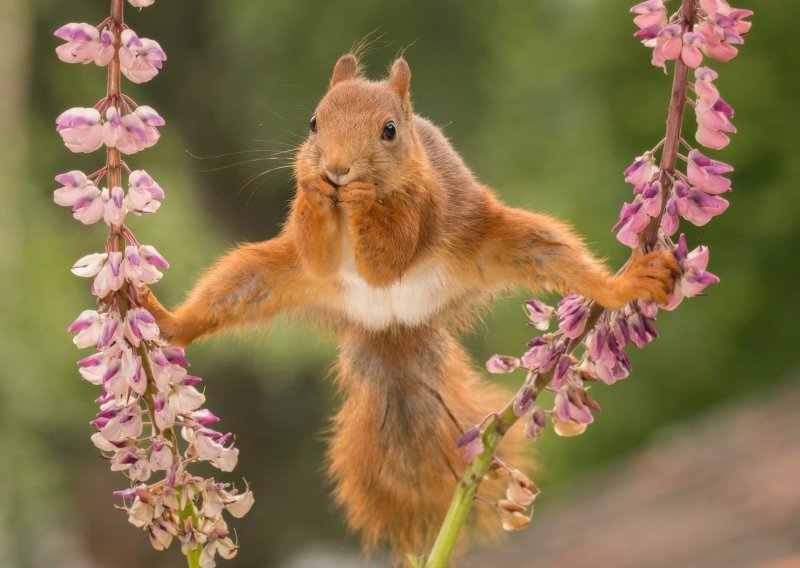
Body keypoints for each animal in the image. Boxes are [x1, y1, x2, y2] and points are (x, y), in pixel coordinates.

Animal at [141, 53, 680, 560]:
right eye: (313, 122)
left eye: (389, 131)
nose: (337, 170)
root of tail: (393, 324)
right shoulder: (311, 253)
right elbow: (316, 252)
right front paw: (315, 190)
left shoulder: (425, 204)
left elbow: (389, 257)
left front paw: (361, 197)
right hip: (263, 275)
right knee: (229, 292)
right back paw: (167, 322)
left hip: (505, 241)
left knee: (555, 254)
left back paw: (623, 284)